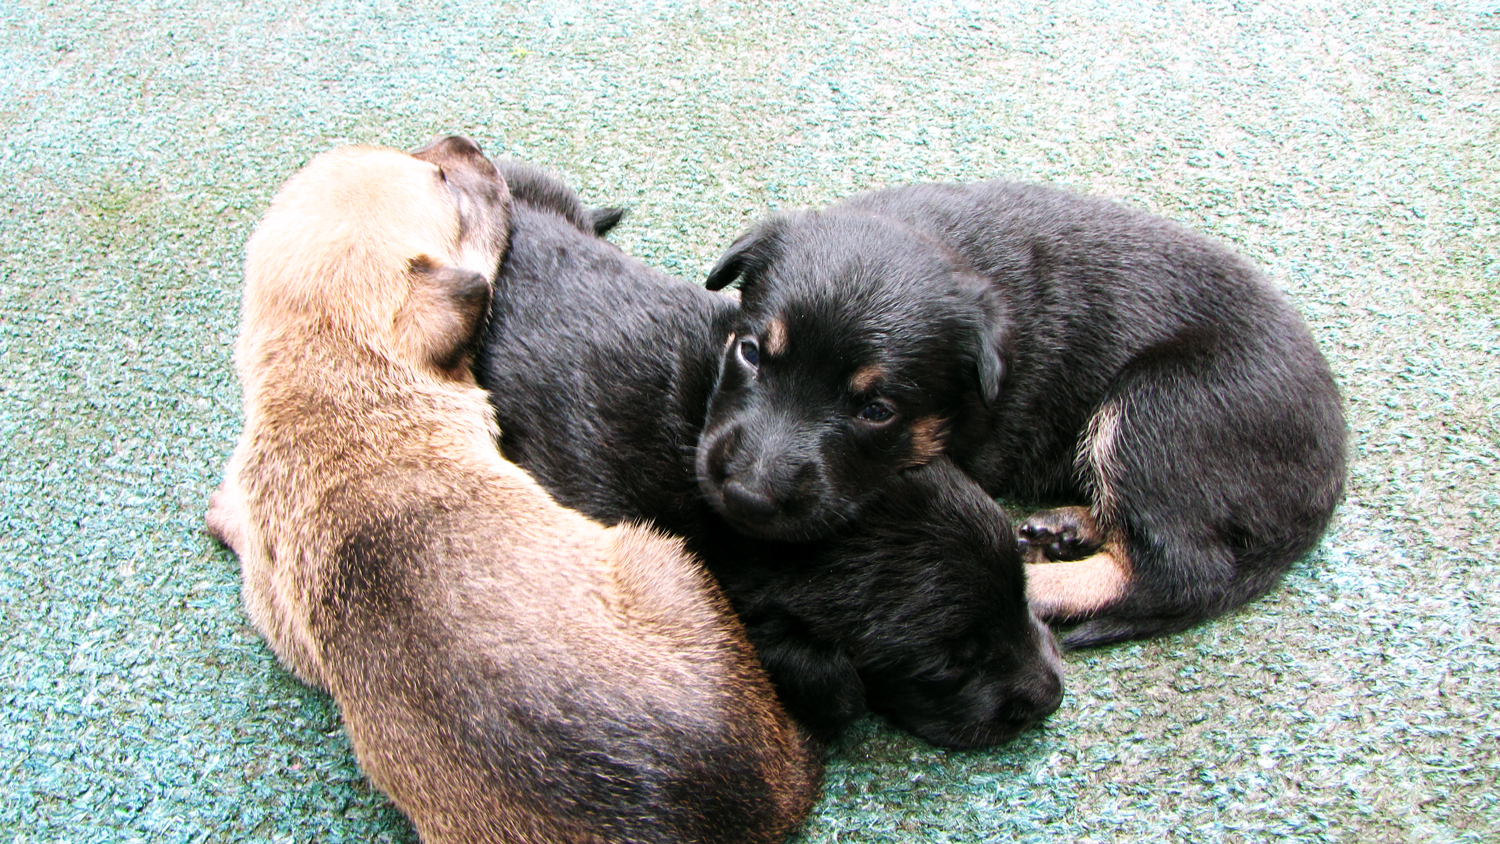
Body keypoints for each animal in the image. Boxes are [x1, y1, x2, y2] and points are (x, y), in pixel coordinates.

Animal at [702, 181, 1350, 650]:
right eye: (750, 352)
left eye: (876, 410)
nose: (748, 499)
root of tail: (1330, 473)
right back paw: (1066, 528)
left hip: (1158, 410)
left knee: (1178, 568)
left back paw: (1030, 585)